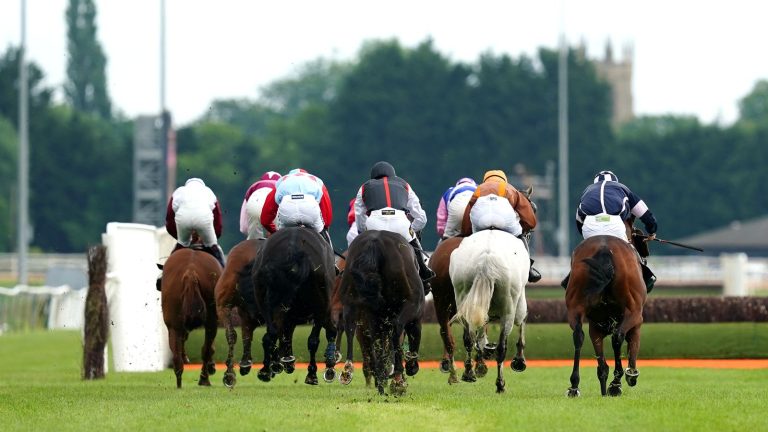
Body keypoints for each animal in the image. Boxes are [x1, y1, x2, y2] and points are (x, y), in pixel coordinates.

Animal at [160, 246, 222, 388]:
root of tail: (191, 272)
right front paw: (211, 367)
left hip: (174, 323)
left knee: (177, 353)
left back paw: (179, 382)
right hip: (211, 320)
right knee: (206, 349)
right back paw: (204, 379)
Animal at [254, 226, 338, 384]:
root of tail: (292, 249)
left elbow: (282, 333)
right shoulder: (322, 308)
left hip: (264, 300)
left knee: (271, 333)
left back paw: (268, 369)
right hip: (320, 303)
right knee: (313, 340)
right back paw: (311, 373)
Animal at [564, 235, 648, 396]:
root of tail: (604, 248)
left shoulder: (595, 327)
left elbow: (601, 363)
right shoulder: (637, 321)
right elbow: (632, 345)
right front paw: (630, 375)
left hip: (574, 306)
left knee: (578, 335)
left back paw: (574, 386)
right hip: (633, 310)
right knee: (618, 336)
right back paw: (616, 383)